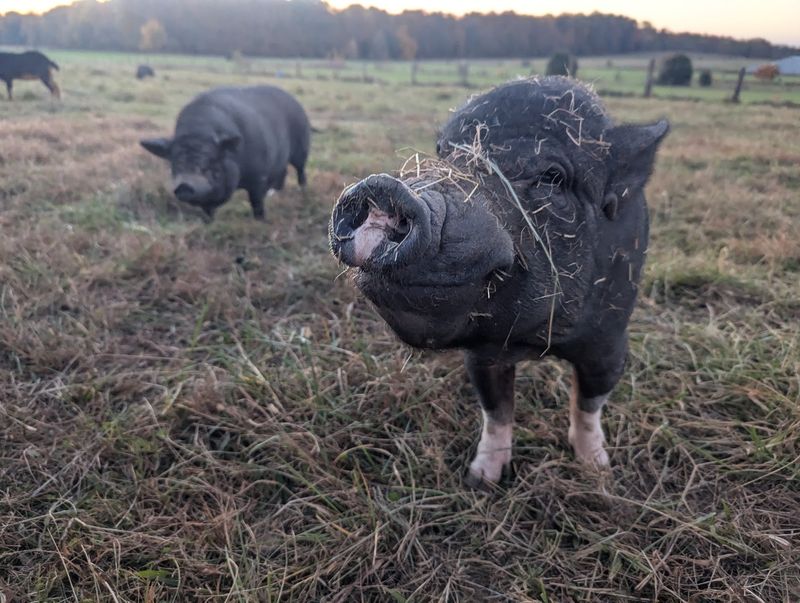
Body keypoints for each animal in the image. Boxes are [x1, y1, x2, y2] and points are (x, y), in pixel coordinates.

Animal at [141, 85, 310, 220]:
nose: (184, 185)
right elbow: (207, 210)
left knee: (300, 170)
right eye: (175, 164)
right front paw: (208, 223)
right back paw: (275, 193)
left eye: (210, 163)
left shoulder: (258, 175)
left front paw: (260, 221)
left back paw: (302, 192)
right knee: (283, 171)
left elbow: (256, 202)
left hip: (302, 148)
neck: (198, 132)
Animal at [329, 76, 668, 487]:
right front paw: (481, 481)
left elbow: (588, 404)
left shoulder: (608, 339)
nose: (383, 187)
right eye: (443, 154)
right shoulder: (482, 355)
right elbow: (496, 410)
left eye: (552, 177)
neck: (534, 342)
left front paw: (597, 469)